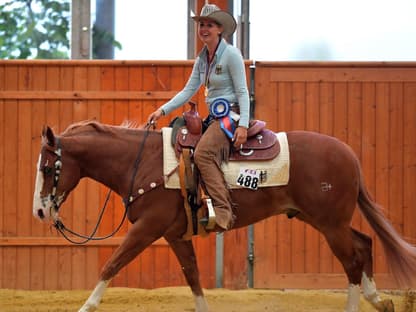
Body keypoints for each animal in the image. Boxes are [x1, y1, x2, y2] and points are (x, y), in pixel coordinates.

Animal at [34, 120, 416, 312]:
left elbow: (111, 264)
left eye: (48, 167)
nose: (40, 210)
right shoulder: (174, 235)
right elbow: (192, 276)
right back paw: (379, 301)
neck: (143, 162)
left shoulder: (146, 229)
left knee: (352, 260)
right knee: (364, 244)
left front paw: (86, 307)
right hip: (320, 219)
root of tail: (349, 154)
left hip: (330, 224)